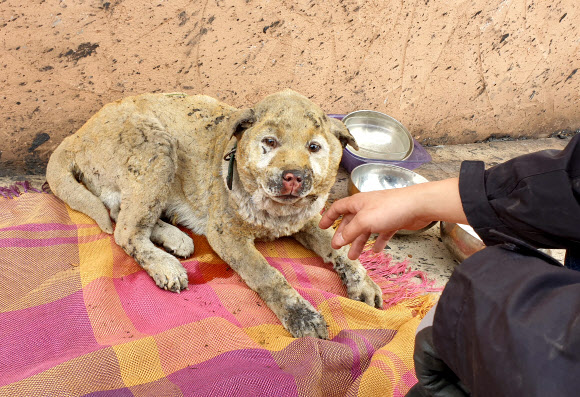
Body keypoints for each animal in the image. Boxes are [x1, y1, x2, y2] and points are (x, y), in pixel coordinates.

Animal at [47, 89, 382, 338]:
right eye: (269, 142)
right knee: (126, 231)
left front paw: (362, 281)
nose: (293, 177)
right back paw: (165, 265)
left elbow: (340, 248)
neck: (278, 211)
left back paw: (175, 238)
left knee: (121, 214)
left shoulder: (309, 220)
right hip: (156, 148)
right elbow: (269, 276)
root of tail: (77, 135)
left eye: (314, 147)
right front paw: (302, 315)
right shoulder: (228, 236)